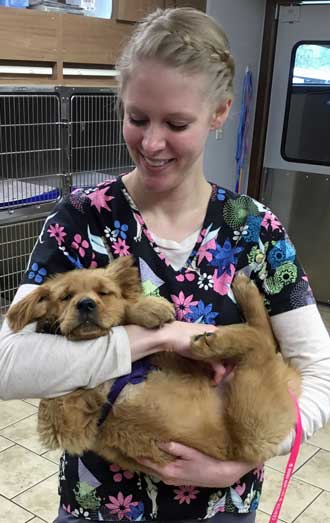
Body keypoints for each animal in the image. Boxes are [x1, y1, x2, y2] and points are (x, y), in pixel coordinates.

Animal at [6, 256, 300, 470]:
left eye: (104, 293)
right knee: (261, 341)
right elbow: (53, 402)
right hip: (253, 408)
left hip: (253, 415)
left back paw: (236, 302)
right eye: (65, 297)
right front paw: (48, 323)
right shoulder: (68, 422)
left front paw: (147, 308)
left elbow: (124, 310)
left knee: (262, 340)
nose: (86, 304)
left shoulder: (170, 360)